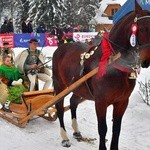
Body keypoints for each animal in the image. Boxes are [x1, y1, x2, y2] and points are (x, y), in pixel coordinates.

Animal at [52, 1, 150, 150]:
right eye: (143, 28)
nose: (147, 60)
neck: (113, 62)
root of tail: (61, 46)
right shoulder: (101, 102)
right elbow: (103, 129)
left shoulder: (122, 102)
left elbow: (116, 129)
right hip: (60, 86)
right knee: (59, 108)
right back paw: (65, 137)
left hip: (79, 88)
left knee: (73, 102)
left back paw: (76, 131)